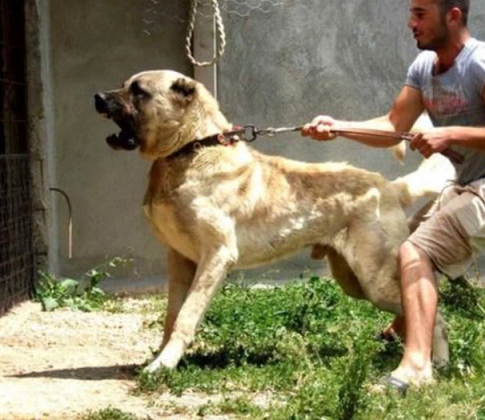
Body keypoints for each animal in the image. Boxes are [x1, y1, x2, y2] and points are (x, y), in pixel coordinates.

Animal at [94, 70, 454, 372]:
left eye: (138, 90)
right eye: (125, 84)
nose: (97, 96)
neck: (193, 148)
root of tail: (390, 187)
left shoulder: (216, 256)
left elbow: (187, 314)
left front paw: (163, 365)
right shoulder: (180, 259)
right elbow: (171, 315)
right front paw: (160, 357)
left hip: (374, 277)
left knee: (434, 313)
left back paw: (435, 364)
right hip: (354, 281)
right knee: (410, 309)